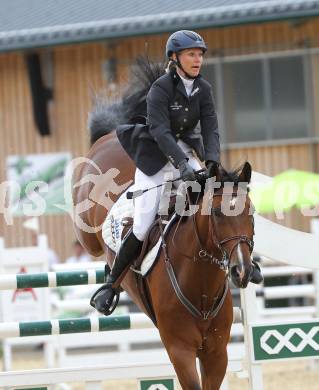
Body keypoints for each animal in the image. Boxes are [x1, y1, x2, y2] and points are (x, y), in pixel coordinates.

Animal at [72, 58, 255, 390]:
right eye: (217, 213)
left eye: (251, 212)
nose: (242, 270)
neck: (201, 283)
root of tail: (111, 135)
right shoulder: (180, 350)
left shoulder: (216, 353)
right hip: (86, 231)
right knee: (93, 240)